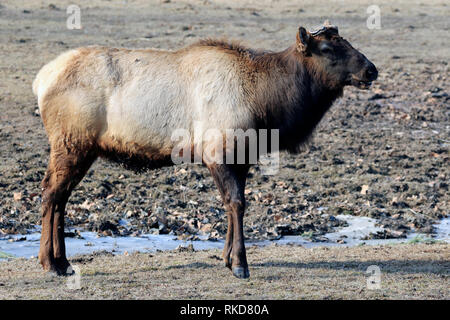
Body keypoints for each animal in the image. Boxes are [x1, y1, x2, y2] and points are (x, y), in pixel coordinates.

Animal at [32, 22, 376, 278]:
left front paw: (226, 257)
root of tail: (40, 80)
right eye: (328, 49)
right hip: (71, 143)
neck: (266, 104)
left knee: (61, 196)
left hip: (81, 149)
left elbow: (232, 204)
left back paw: (62, 261)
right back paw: (51, 263)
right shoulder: (217, 153)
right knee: (50, 191)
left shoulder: (242, 158)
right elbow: (236, 203)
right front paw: (240, 264)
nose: (371, 70)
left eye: (346, 42)